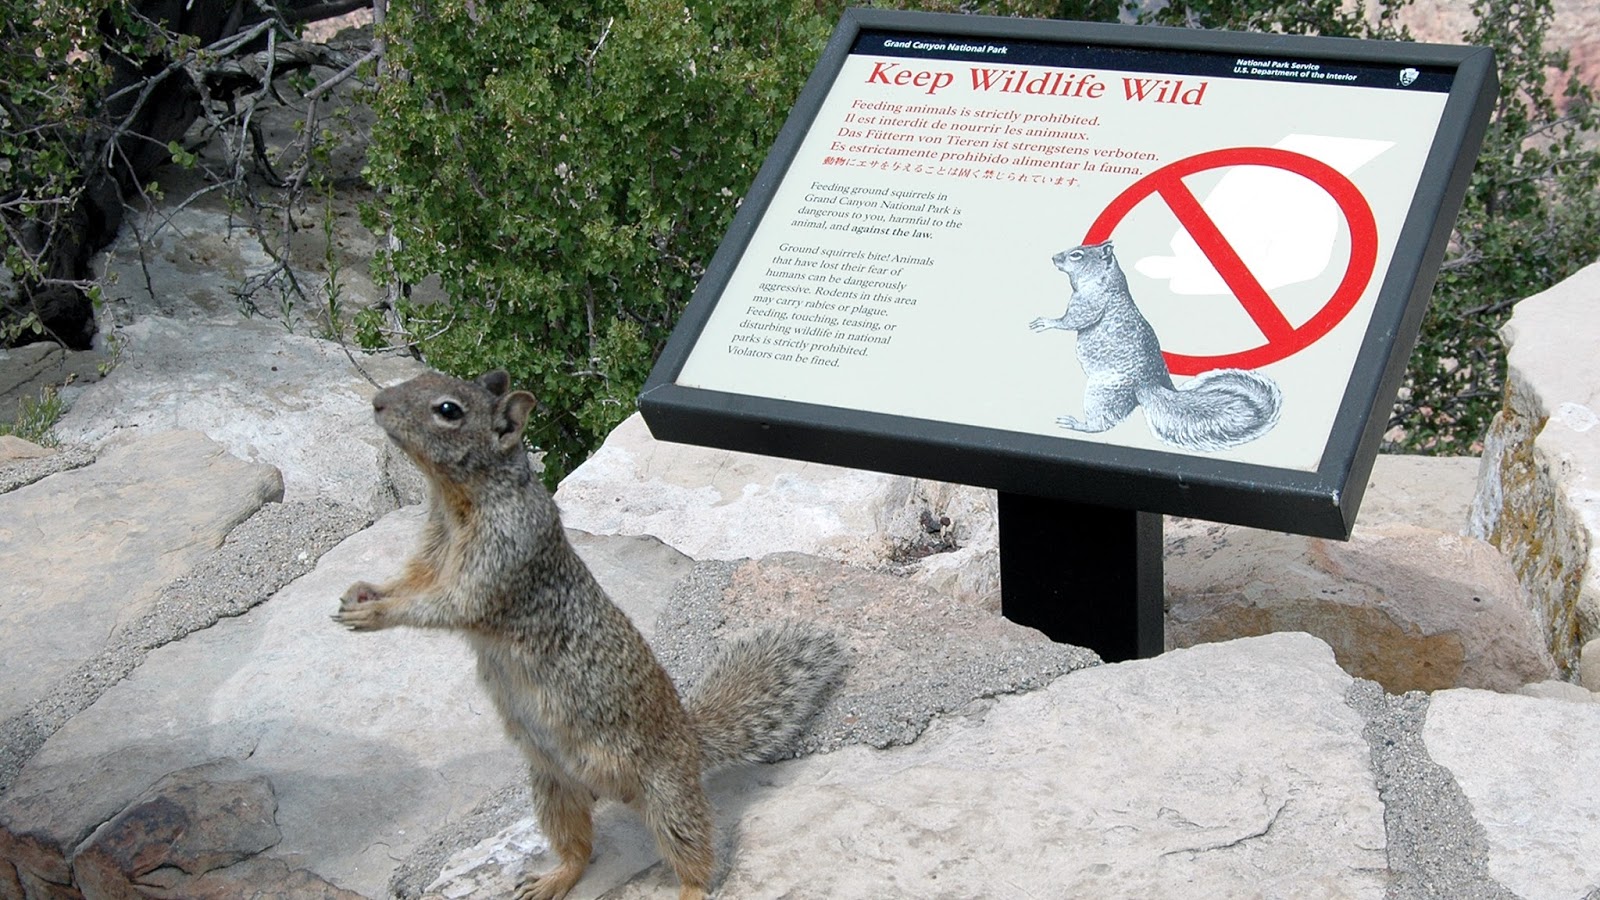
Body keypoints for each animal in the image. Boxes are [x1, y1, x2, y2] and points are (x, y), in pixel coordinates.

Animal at [334, 369, 846, 900]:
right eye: (419, 377)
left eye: (448, 410)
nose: (377, 403)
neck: (455, 503)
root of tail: (691, 740)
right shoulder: (431, 555)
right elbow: (410, 582)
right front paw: (362, 593)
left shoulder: (502, 559)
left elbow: (450, 605)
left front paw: (376, 613)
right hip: (552, 787)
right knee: (579, 849)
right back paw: (551, 879)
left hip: (668, 798)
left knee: (695, 852)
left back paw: (688, 887)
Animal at [1028, 240, 1282, 453]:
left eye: (1077, 255)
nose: (1053, 257)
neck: (1107, 279)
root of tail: (1147, 385)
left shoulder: (1090, 302)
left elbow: (1073, 320)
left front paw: (1047, 322)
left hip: (1102, 393)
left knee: (1101, 423)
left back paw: (1076, 424)